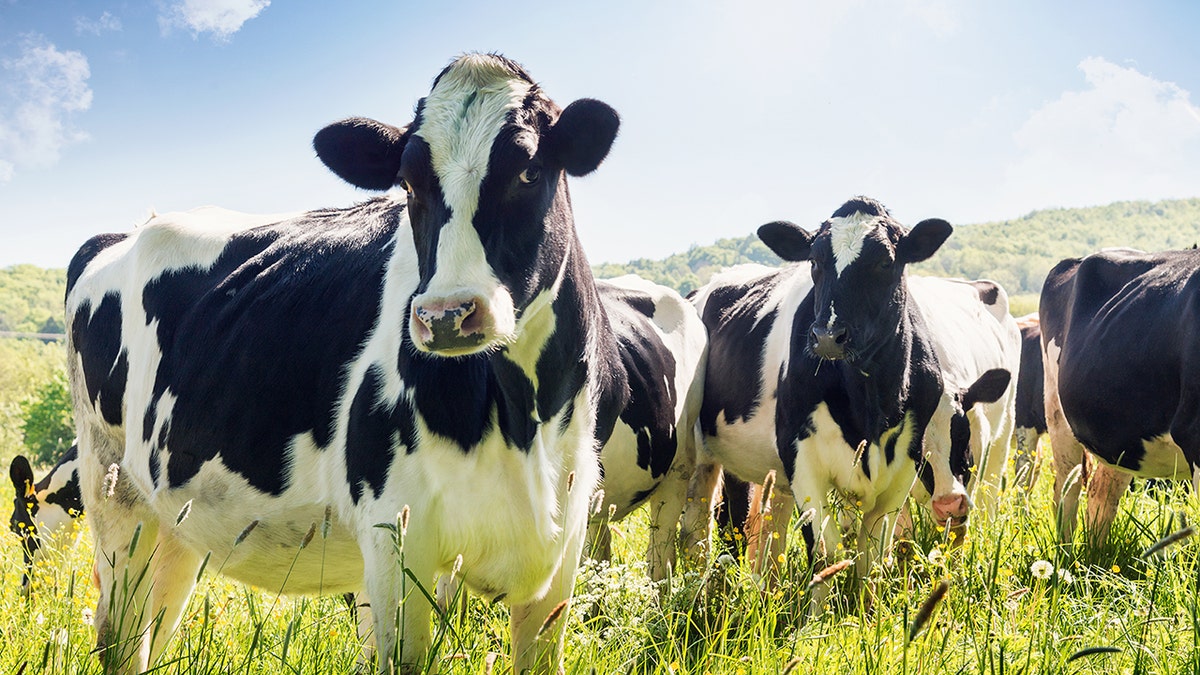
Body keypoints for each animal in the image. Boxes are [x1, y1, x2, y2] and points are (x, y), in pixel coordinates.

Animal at [68, 53, 686, 672]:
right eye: (409, 182)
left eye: (530, 171)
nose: (446, 314)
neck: (522, 415)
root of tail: (127, 230)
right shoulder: (396, 535)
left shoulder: (563, 543)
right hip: (114, 494)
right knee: (118, 634)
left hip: (178, 522)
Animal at [691, 194, 1017, 598]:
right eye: (814, 261)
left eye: (885, 261)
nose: (828, 336)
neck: (870, 407)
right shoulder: (803, 459)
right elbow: (827, 552)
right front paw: (820, 612)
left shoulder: (902, 469)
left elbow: (874, 555)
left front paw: (868, 607)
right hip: (708, 459)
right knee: (710, 525)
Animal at [1041, 246, 1200, 540]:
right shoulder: (1193, 433)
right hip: (1057, 416)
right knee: (1066, 493)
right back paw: (1065, 551)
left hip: (1118, 435)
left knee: (1101, 494)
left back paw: (1096, 550)